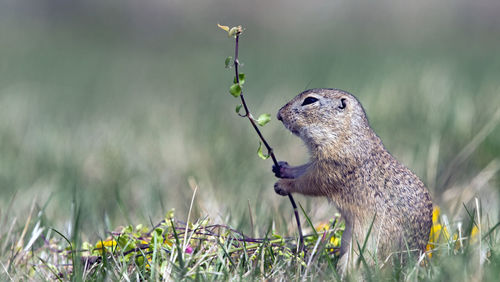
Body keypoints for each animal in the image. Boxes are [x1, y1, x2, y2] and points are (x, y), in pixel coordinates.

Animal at [274, 88, 434, 270]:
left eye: (310, 100)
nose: (279, 114)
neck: (345, 134)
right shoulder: (317, 163)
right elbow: (302, 170)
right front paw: (282, 168)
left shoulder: (331, 168)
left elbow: (309, 183)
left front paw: (283, 185)